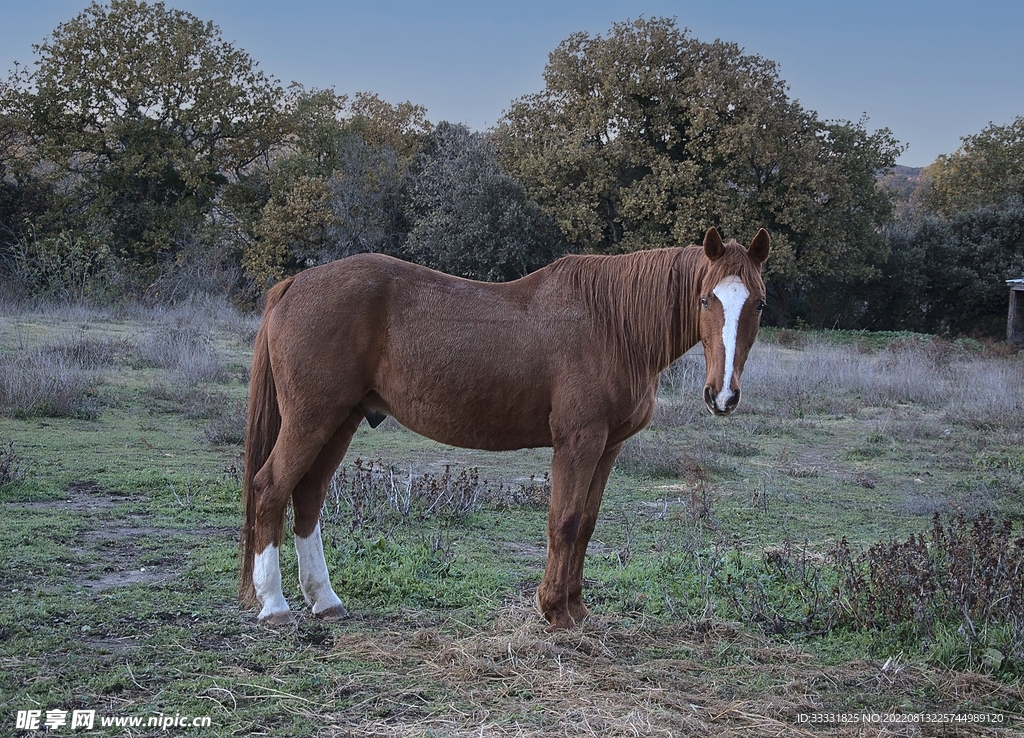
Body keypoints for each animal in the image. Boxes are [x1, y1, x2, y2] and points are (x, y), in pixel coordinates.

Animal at [240, 226, 770, 630]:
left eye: (759, 304)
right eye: (705, 298)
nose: (722, 395)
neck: (611, 324)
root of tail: (295, 284)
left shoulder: (608, 447)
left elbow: (586, 524)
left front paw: (576, 609)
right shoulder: (578, 442)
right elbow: (564, 521)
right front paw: (553, 610)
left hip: (342, 420)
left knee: (308, 495)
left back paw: (324, 600)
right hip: (311, 418)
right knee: (270, 489)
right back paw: (276, 606)